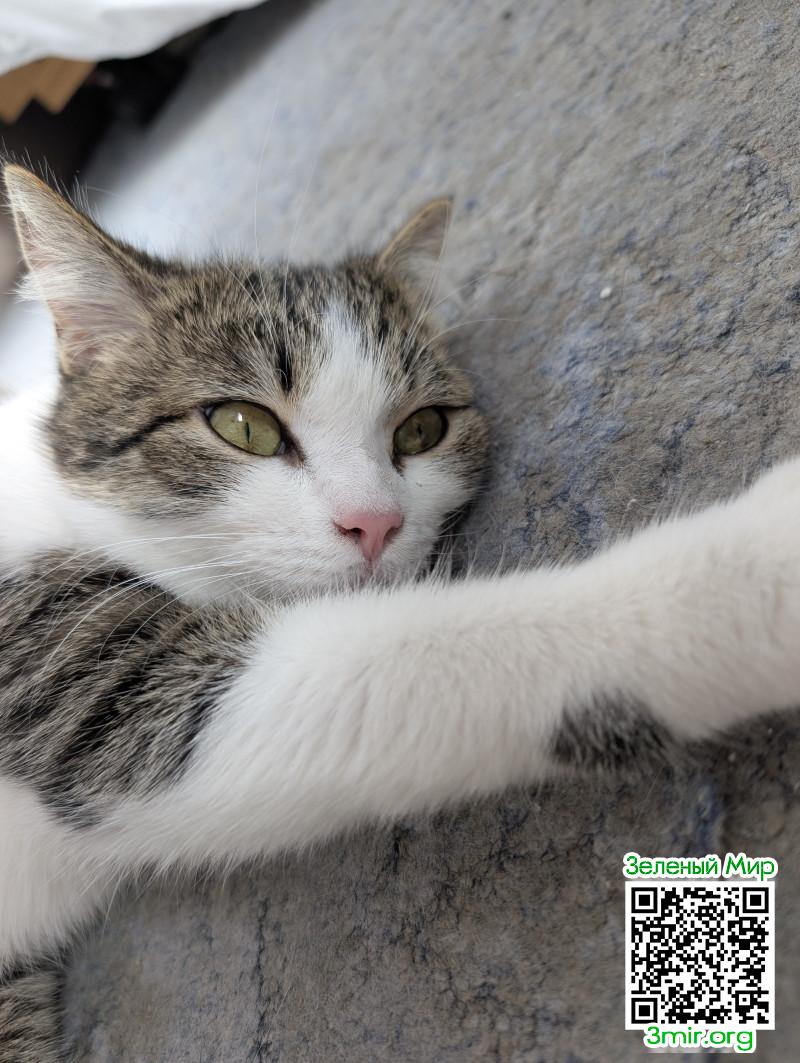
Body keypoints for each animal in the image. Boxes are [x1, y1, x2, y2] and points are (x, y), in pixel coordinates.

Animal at [2, 162, 800, 1062]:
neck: (55, 502)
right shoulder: (86, 681)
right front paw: (760, 560)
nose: (375, 522)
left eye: (423, 428)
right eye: (242, 424)